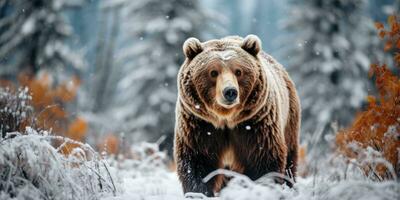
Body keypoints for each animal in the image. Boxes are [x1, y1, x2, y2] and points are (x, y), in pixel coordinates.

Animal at [173, 34, 298, 197]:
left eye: (238, 71)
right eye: (213, 72)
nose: (230, 91)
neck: (226, 118)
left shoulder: (255, 125)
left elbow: (263, 159)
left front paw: (262, 189)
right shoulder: (200, 126)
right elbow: (197, 163)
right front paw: (198, 193)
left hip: (289, 118)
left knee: (290, 159)